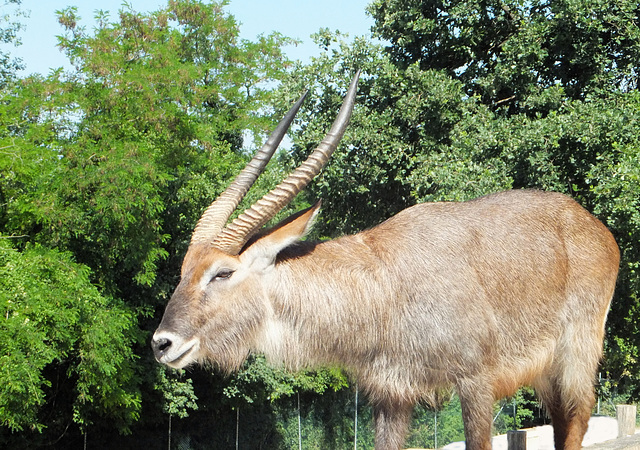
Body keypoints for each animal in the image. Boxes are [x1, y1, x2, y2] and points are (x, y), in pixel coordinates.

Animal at [151, 72, 620, 448]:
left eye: (222, 272)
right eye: (185, 271)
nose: (162, 343)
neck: (385, 281)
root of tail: (594, 226)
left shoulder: (477, 382)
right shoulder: (389, 394)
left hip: (576, 359)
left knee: (576, 423)